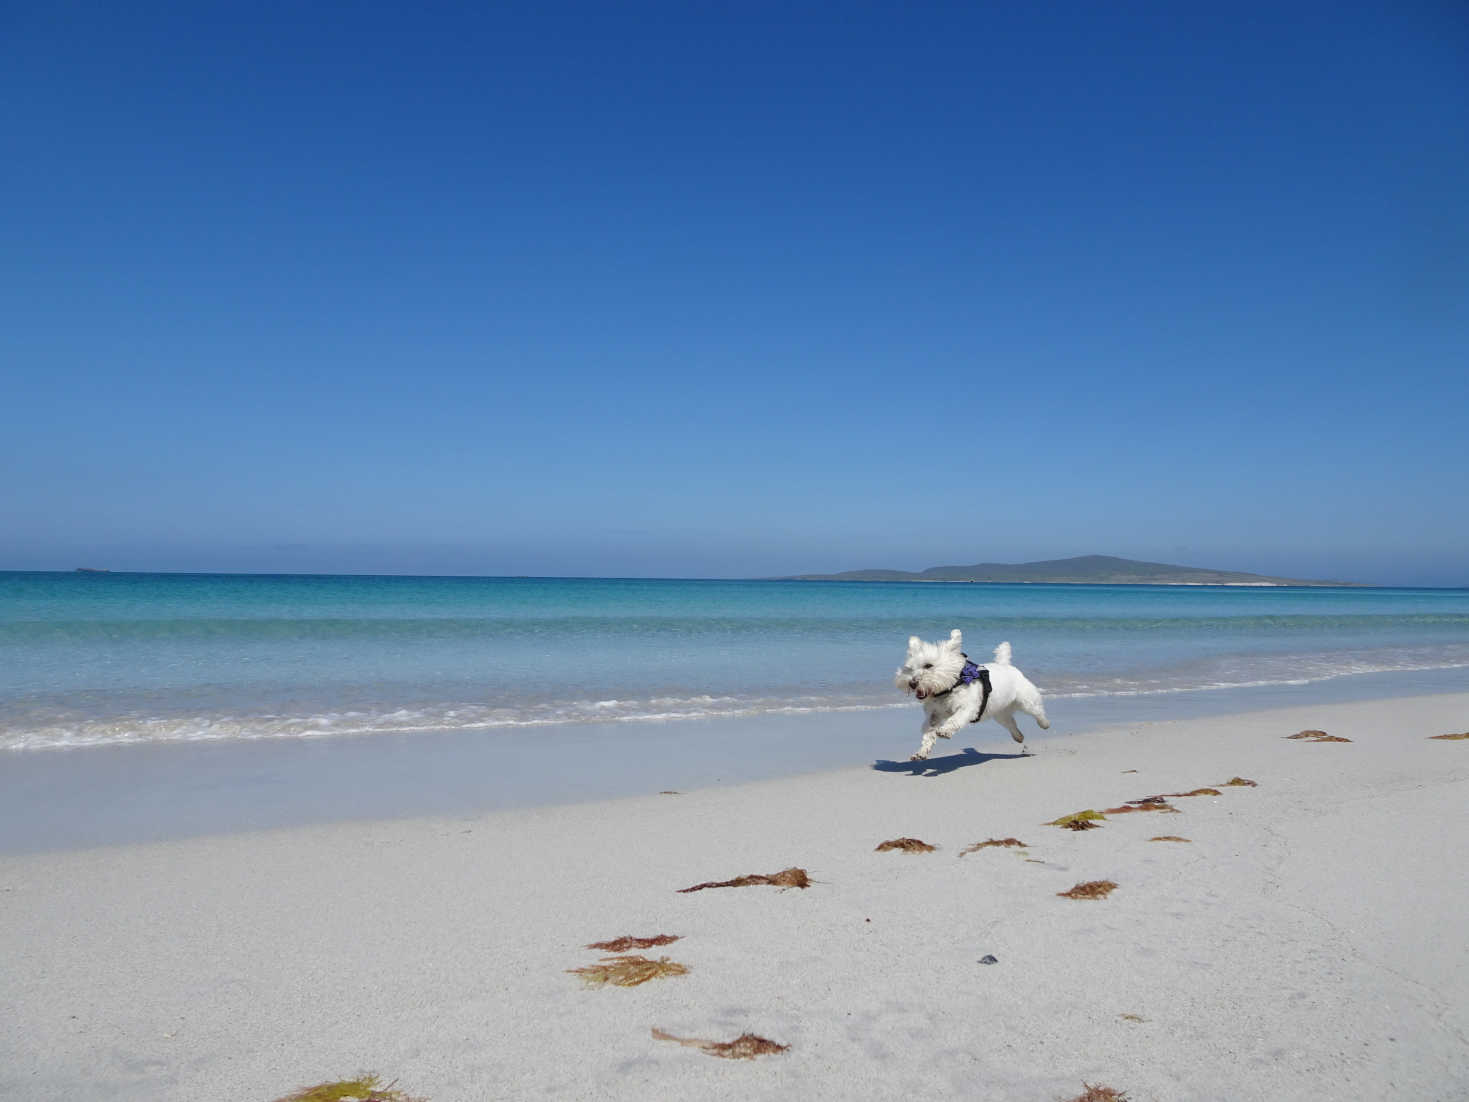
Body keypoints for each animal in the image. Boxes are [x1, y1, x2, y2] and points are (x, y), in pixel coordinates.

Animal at [893, 634, 1045, 764]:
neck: (949, 687)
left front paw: (945, 731)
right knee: (1011, 723)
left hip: (1026, 700)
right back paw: (1019, 737)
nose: (912, 683)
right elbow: (929, 734)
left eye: (928, 665)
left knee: (1037, 711)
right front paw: (921, 752)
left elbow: (954, 719)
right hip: (1000, 713)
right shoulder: (934, 715)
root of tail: (1005, 664)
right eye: (909, 668)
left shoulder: (967, 708)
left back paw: (1044, 724)